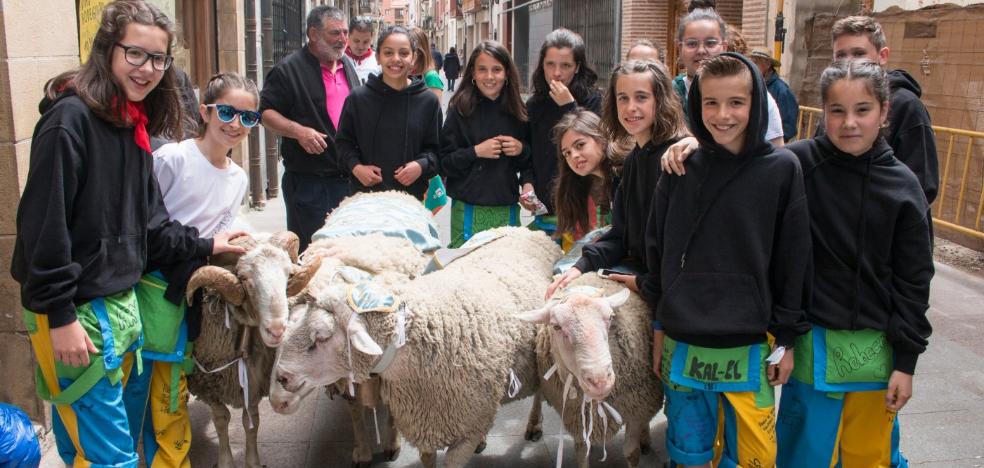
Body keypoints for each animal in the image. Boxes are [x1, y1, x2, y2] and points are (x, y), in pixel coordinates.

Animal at [270, 226, 560, 464]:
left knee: (539, 392)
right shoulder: (426, 421)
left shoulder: (465, 432)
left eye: (321, 337)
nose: (282, 378)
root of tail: (526, 230)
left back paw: (534, 425)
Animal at [520, 272, 664, 466]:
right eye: (556, 326)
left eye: (610, 317)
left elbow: (631, 453)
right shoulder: (578, 419)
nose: (600, 381)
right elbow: (582, 455)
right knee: (538, 393)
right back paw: (534, 424)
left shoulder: (636, 409)